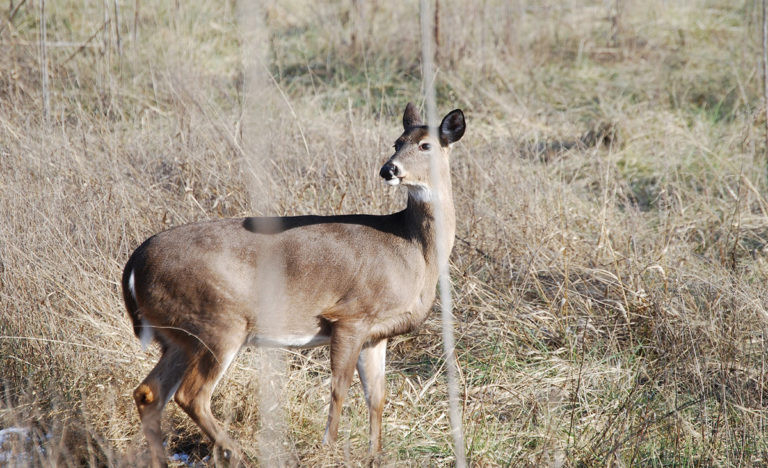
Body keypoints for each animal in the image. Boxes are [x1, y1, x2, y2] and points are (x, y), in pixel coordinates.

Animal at [123, 102, 464, 464]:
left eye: (425, 145)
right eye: (397, 142)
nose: (389, 169)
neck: (412, 250)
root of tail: (135, 264)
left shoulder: (377, 333)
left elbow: (377, 395)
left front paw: (375, 455)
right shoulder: (351, 315)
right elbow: (339, 386)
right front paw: (329, 447)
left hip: (177, 335)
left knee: (149, 392)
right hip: (217, 321)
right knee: (191, 394)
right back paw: (236, 452)